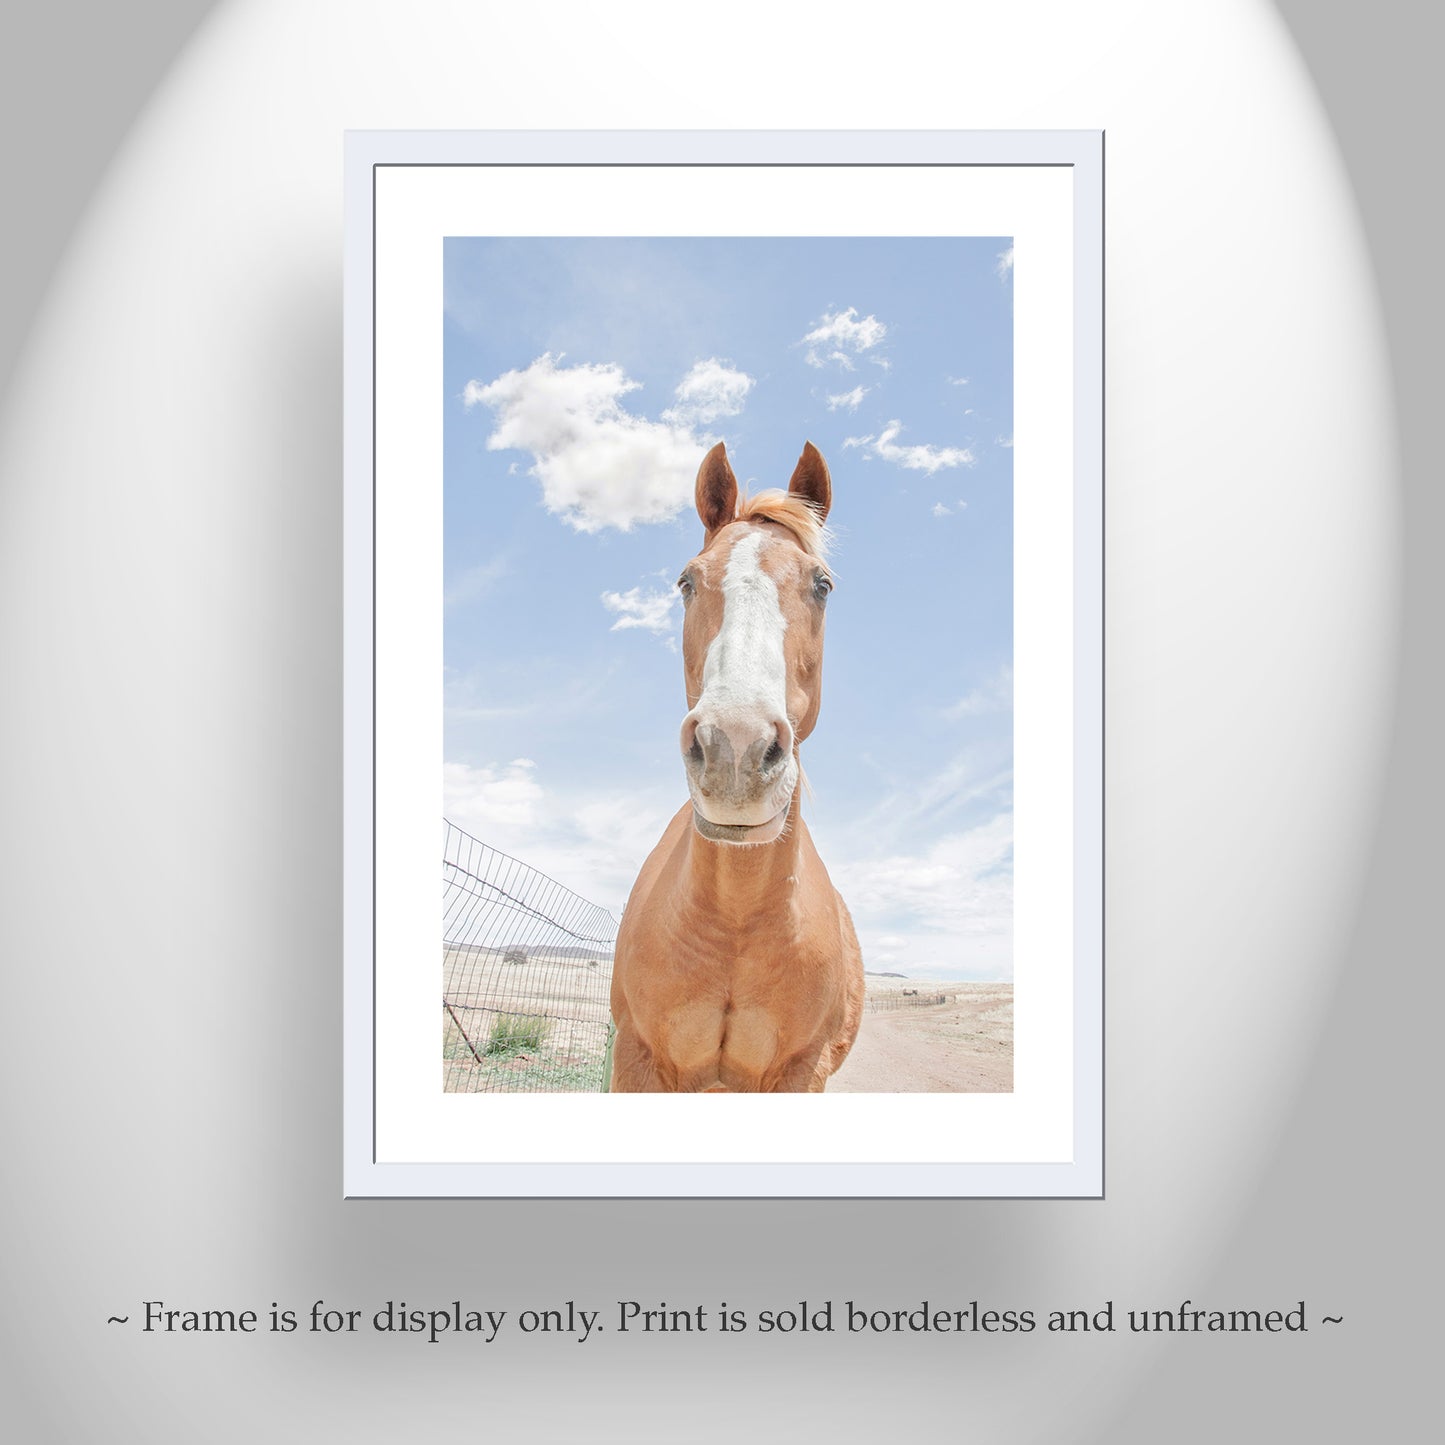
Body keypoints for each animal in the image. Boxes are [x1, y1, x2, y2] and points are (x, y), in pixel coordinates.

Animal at [609, 440, 864, 1092]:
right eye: (686, 581)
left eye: (823, 584)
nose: (735, 748)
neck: (735, 923)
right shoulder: (637, 1060)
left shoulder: (801, 1072)